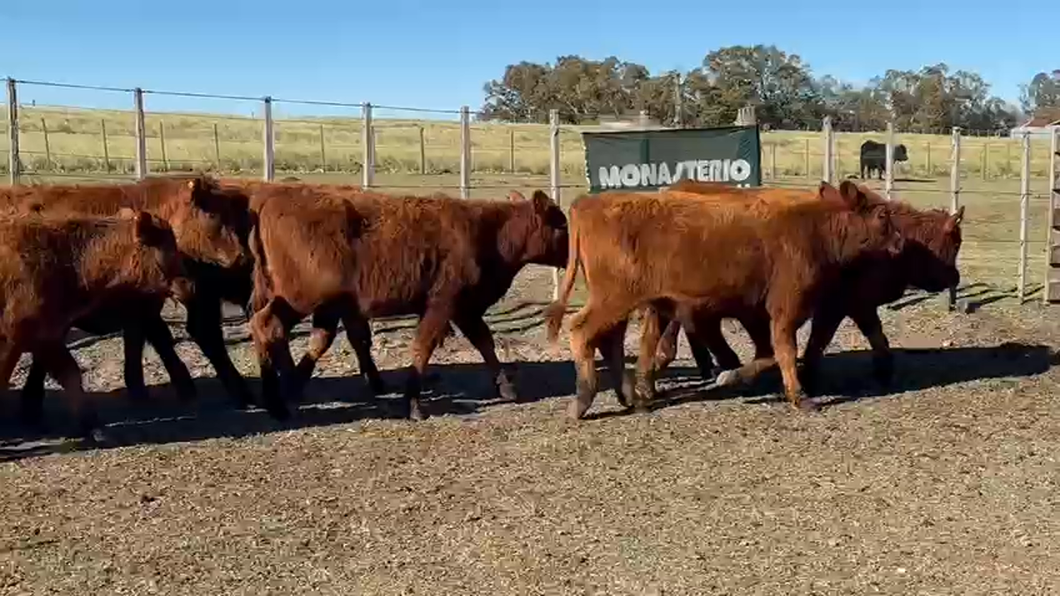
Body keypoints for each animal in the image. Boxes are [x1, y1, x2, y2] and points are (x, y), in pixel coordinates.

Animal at [0, 211, 195, 439]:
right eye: (168, 249)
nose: (190, 285)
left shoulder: (47, 335)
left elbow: (70, 374)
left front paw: (93, 426)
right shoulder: (17, 337)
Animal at [245, 184, 572, 417]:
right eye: (562, 224)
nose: (572, 255)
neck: (489, 231)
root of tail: (268, 202)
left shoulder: (464, 308)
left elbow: (484, 342)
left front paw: (506, 388)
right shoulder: (442, 304)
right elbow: (423, 346)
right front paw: (413, 403)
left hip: (317, 304)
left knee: (282, 331)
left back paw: (283, 392)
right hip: (302, 299)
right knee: (267, 325)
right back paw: (279, 396)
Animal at [546, 181, 903, 417]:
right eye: (883, 216)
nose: (900, 241)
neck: (813, 229)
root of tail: (589, 203)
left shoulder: (759, 312)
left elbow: (768, 354)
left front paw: (732, 376)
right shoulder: (785, 309)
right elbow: (784, 353)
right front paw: (799, 396)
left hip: (622, 303)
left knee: (611, 342)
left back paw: (632, 398)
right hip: (613, 299)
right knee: (582, 331)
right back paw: (583, 399)